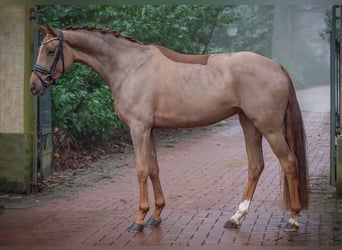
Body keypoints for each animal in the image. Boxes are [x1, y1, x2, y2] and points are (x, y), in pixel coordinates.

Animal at [28, 24, 308, 233]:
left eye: (51, 50)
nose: (34, 86)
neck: (130, 66)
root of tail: (277, 66)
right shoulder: (149, 129)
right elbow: (154, 169)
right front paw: (156, 215)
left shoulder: (138, 128)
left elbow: (141, 170)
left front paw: (139, 220)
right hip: (249, 124)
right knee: (255, 166)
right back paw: (236, 218)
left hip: (269, 128)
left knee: (289, 162)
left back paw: (293, 218)